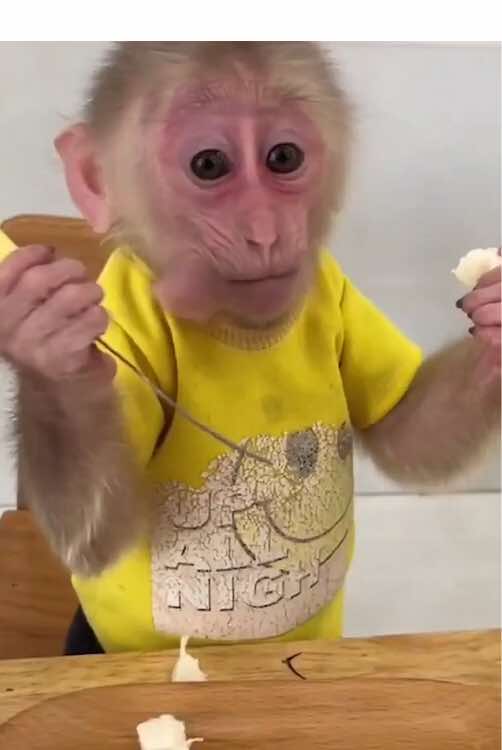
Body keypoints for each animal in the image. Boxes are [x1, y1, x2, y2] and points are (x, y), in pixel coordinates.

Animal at [0, 42, 499, 654]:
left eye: (283, 157)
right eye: (209, 165)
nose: (264, 231)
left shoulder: (330, 282)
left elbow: (404, 435)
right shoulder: (123, 310)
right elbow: (97, 537)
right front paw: (51, 353)